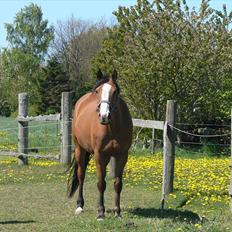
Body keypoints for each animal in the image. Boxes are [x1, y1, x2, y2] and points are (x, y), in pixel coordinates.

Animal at [67, 70, 132, 220]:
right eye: (97, 91)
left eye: (115, 91)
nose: (104, 116)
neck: (113, 128)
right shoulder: (100, 156)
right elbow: (101, 184)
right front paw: (101, 213)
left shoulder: (122, 156)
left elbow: (118, 184)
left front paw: (117, 212)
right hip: (80, 150)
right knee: (81, 175)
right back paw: (79, 205)